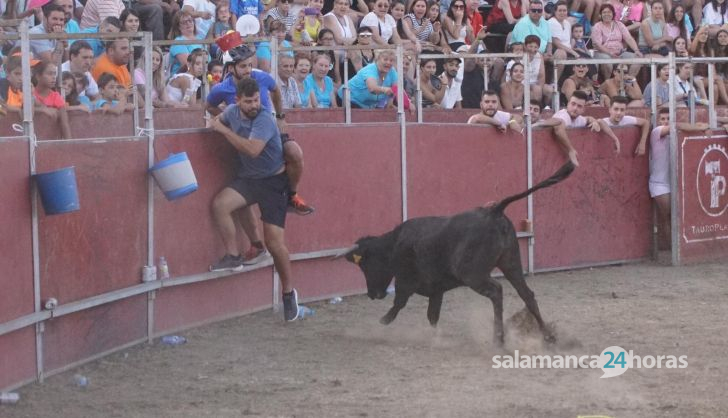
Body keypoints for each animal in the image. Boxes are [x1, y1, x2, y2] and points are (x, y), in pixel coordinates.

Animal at [332, 162, 576, 344]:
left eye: (364, 264)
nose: (373, 294)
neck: (394, 245)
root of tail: (493, 211)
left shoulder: (405, 281)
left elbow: (399, 302)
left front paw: (383, 321)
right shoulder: (436, 289)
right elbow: (432, 315)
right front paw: (435, 337)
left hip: (473, 274)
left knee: (497, 291)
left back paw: (498, 339)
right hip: (511, 263)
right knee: (527, 295)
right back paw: (548, 336)